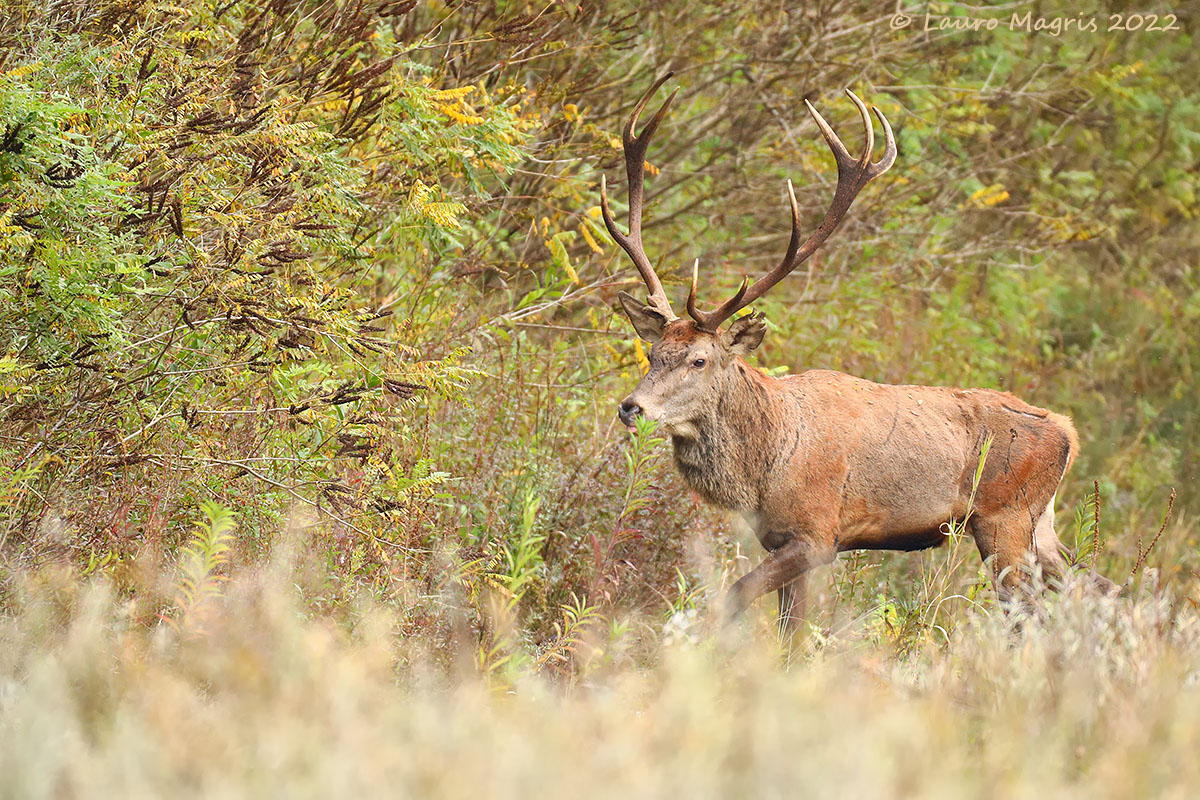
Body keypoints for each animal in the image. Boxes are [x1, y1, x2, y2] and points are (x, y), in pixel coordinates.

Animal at [601, 74, 1112, 633]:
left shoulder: (817, 534)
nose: (631, 407)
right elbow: (790, 632)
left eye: (699, 359)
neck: (768, 462)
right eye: (653, 353)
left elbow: (734, 597)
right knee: (1099, 587)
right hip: (1043, 523)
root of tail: (1068, 432)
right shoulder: (781, 540)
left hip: (1007, 518)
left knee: (1031, 615)